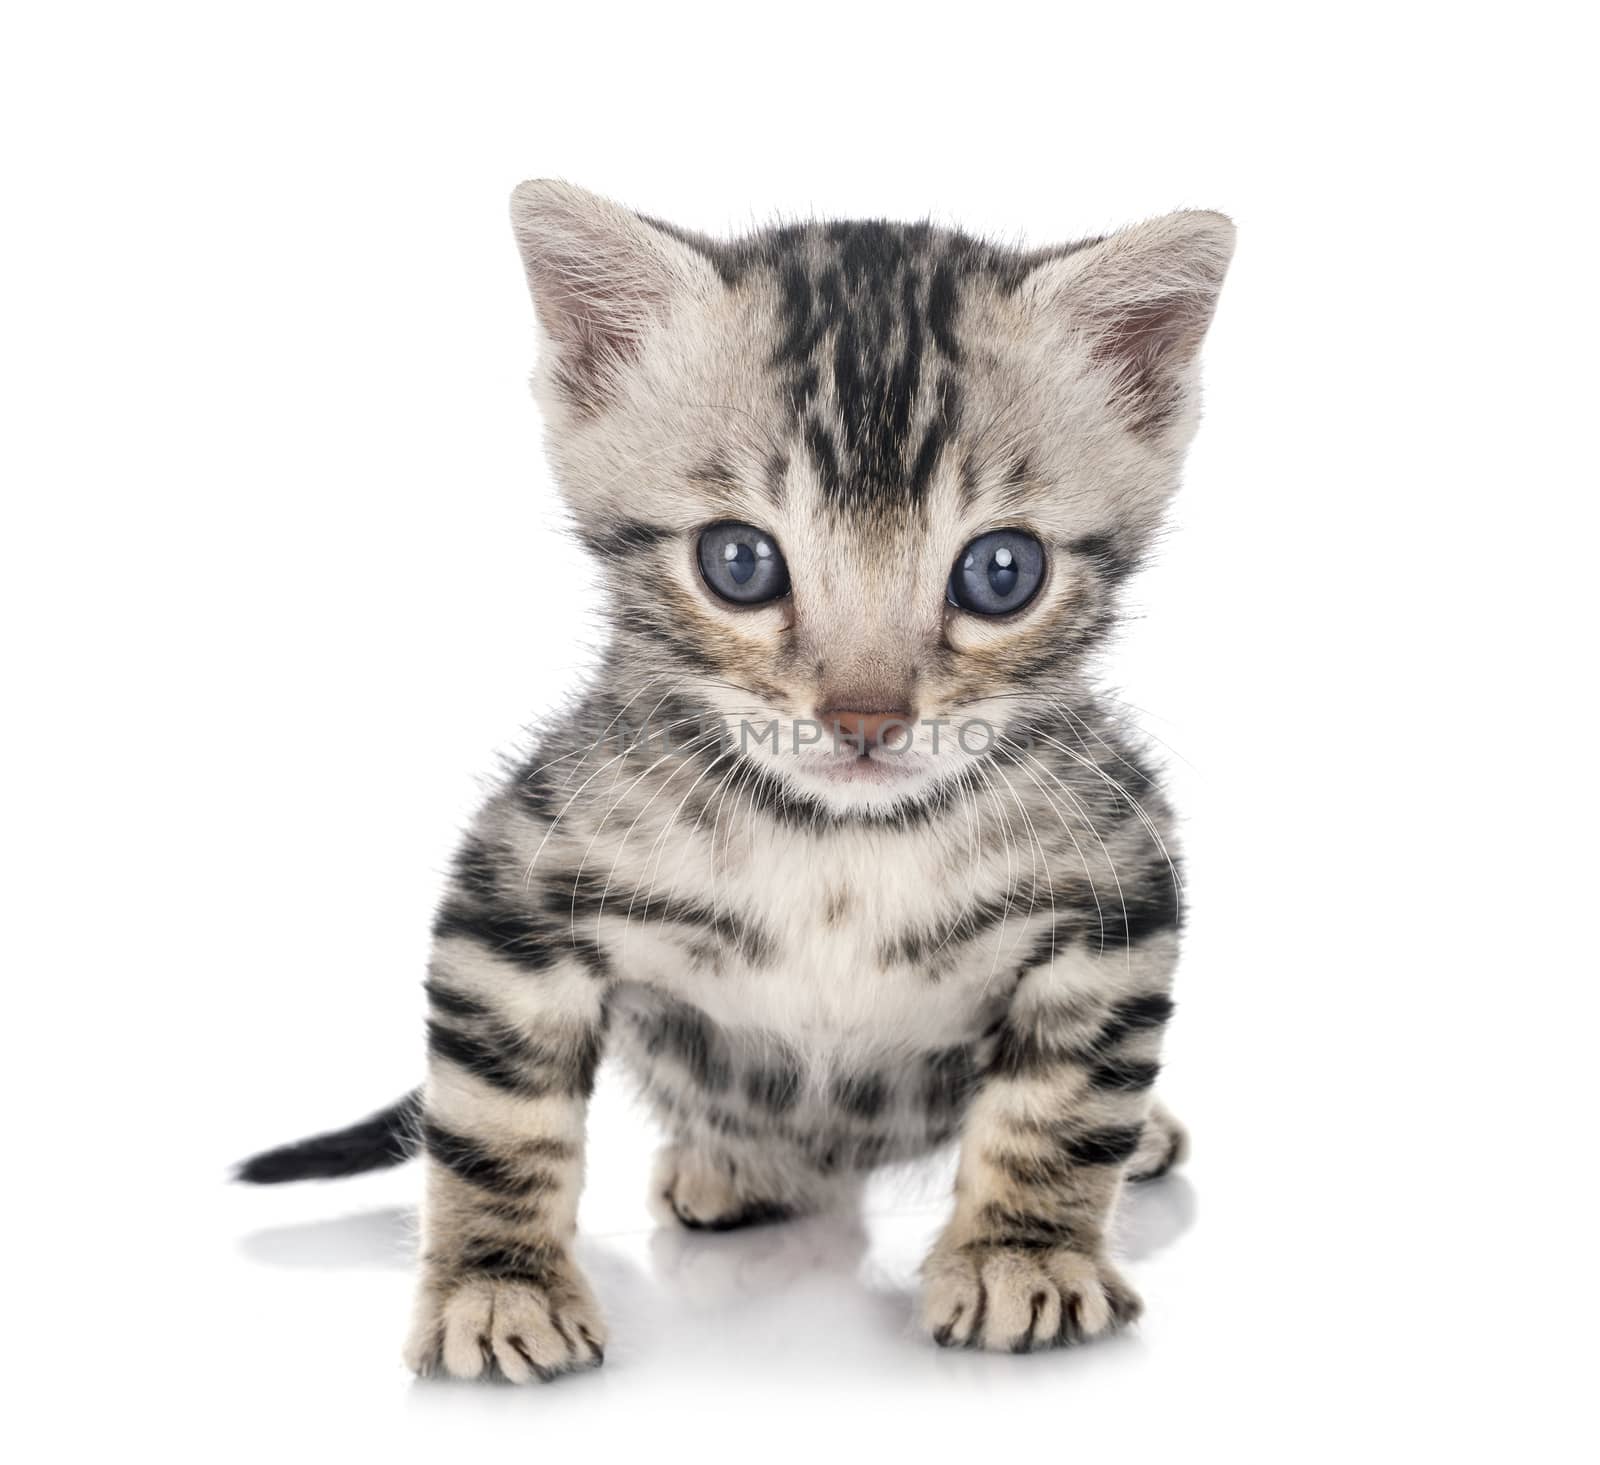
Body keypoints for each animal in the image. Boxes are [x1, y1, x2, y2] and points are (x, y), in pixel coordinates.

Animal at [240, 179, 1235, 1375]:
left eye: (1003, 571)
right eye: (739, 562)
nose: (865, 718)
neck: (839, 843)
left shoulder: (1118, 885)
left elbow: (1067, 1099)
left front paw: (1023, 1253)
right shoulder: (513, 887)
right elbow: (492, 1115)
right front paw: (499, 1282)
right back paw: (735, 1160)